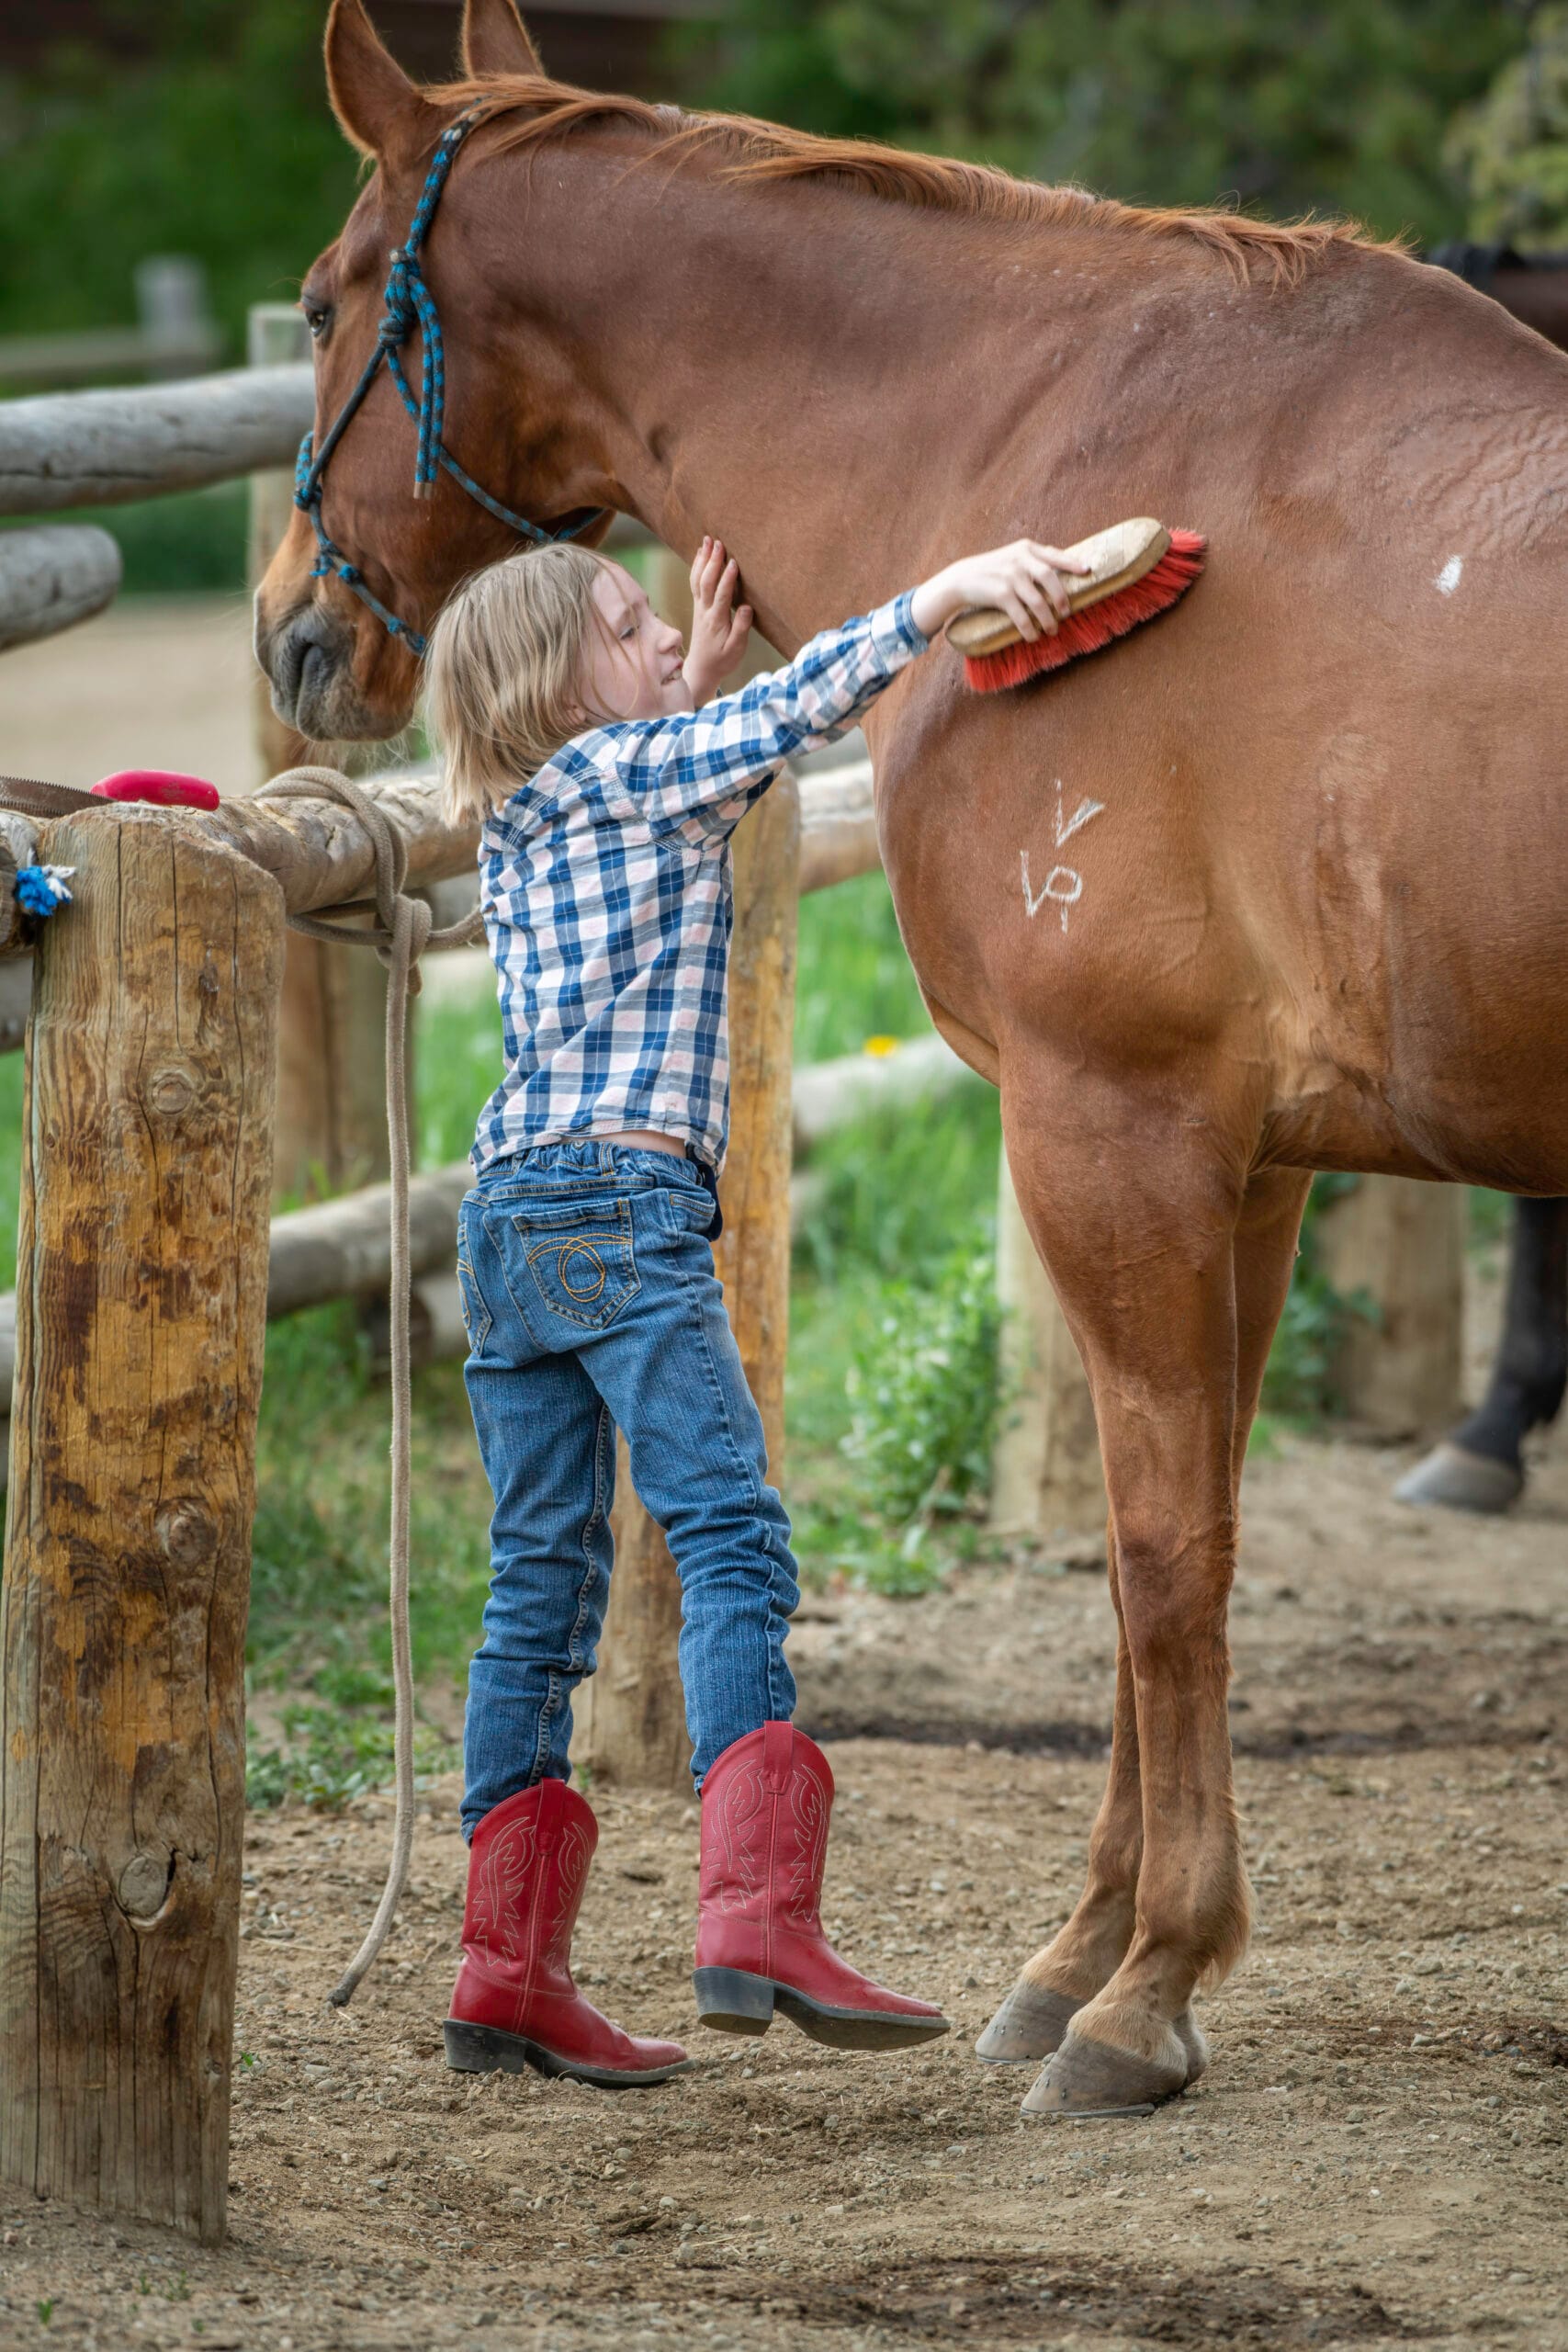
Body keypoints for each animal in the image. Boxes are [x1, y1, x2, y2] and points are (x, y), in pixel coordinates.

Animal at [256, 0, 1568, 2116]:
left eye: (317, 303)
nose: (291, 636)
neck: (1063, 448)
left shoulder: (1113, 1134)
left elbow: (1161, 1547)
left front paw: (1142, 1989)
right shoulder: (1248, 1163)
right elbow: (1158, 1560)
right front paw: (1091, 1951)